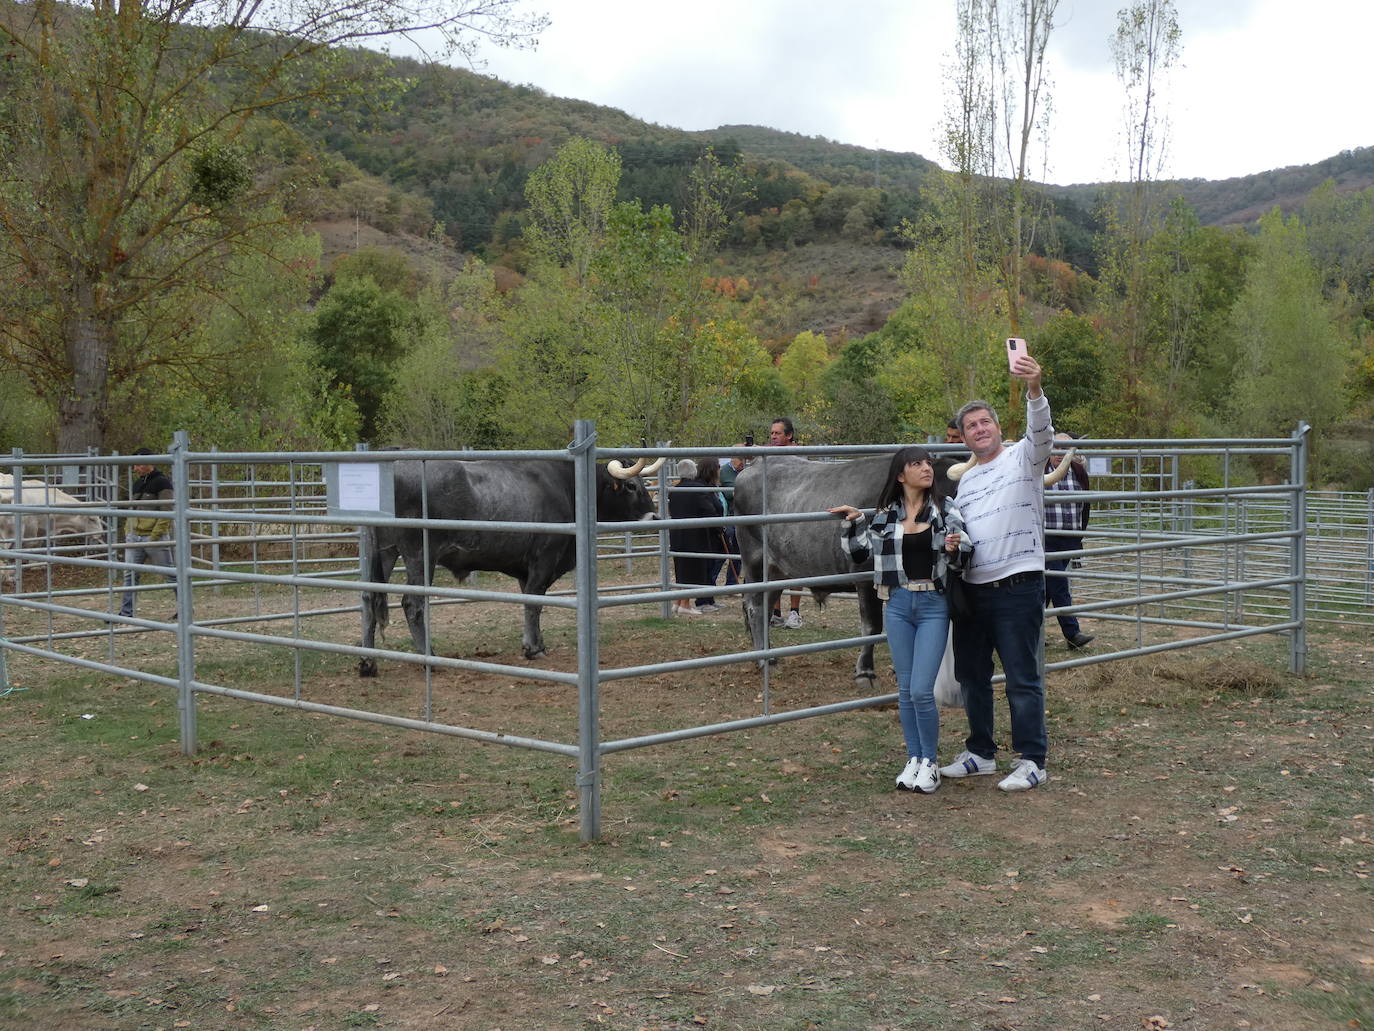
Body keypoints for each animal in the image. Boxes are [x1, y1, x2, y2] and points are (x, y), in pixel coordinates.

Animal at [357, 456, 662, 673]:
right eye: (631, 486)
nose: (655, 517)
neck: (568, 486)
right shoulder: (544, 559)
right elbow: (534, 603)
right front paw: (533, 649)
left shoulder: (526, 570)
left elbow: (531, 602)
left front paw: (535, 642)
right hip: (419, 554)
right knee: (412, 603)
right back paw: (428, 657)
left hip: (385, 552)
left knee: (369, 598)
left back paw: (368, 662)